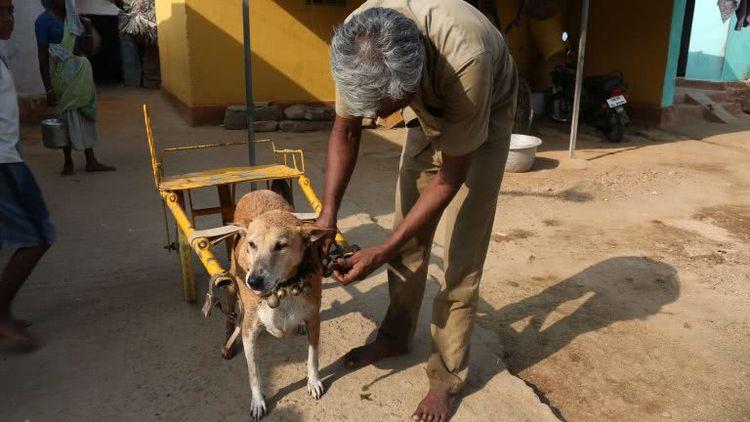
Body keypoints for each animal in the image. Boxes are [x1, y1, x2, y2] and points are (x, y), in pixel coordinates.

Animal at [223, 190, 332, 420]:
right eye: (252, 245)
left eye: (281, 246)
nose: (253, 282)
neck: (285, 288)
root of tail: (257, 191)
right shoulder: (249, 332)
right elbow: (254, 373)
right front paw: (258, 401)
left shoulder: (314, 319)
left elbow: (313, 356)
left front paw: (314, 382)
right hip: (230, 284)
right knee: (230, 313)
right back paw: (227, 342)